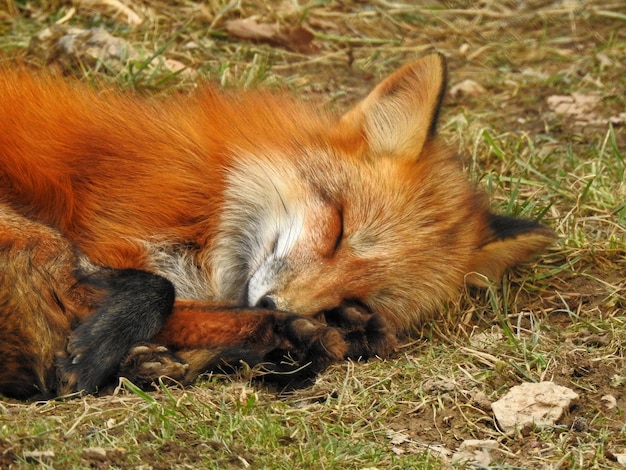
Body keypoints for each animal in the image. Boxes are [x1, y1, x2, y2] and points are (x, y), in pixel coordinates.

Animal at [0, 54, 552, 400]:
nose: (273, 302)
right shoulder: (110, 239)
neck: (214, 195)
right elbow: (158, 292)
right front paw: (99, 350)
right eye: (338, 229)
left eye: (358, 295)